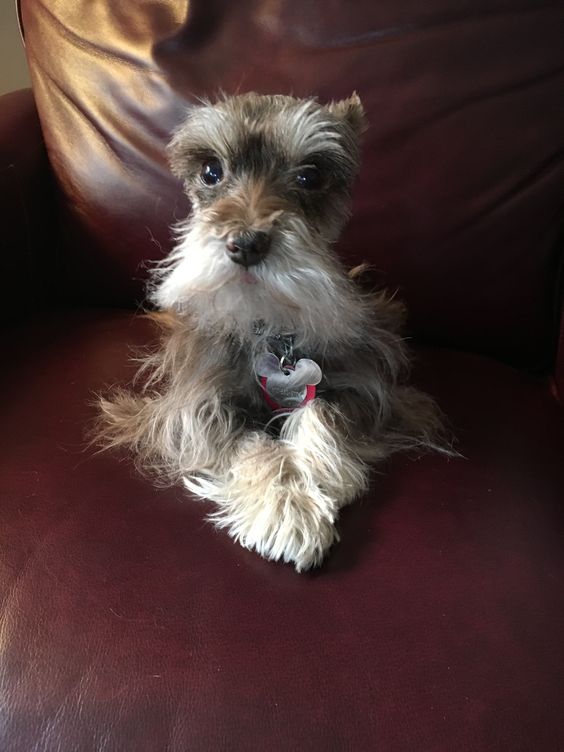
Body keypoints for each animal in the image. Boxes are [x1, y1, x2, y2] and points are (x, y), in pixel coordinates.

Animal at [99, 94, 448, 572]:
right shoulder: (194, 408)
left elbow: (323, 412)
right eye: (211, 171)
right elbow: (250, 440)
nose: (246, 244)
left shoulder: (371, 391)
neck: (267, 324)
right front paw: (286, 506)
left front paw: (317, 474)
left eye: (310, 175)